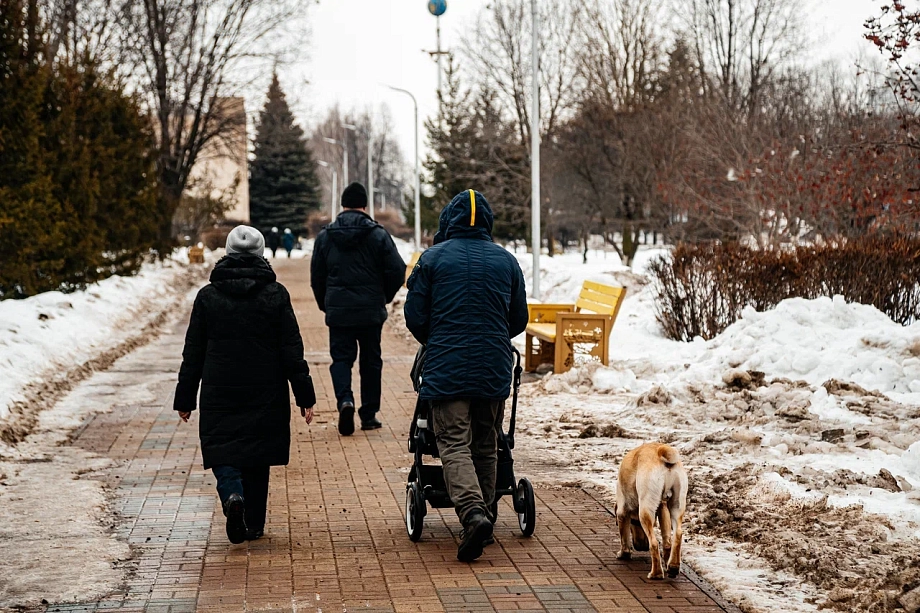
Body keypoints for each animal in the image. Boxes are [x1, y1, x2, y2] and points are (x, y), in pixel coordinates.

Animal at [616, 440, 688, 580]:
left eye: (634, 522)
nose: (641, 547)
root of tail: (661, 451)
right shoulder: (662, 506)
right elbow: (667, 540)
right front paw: (668, 562)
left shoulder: (621, 511)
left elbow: (624, 537)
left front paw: (624, 554)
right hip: (677, 504)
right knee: (677, 535)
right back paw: (673, 567)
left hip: (645, 510)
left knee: (654, 543)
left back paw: (656, 573)